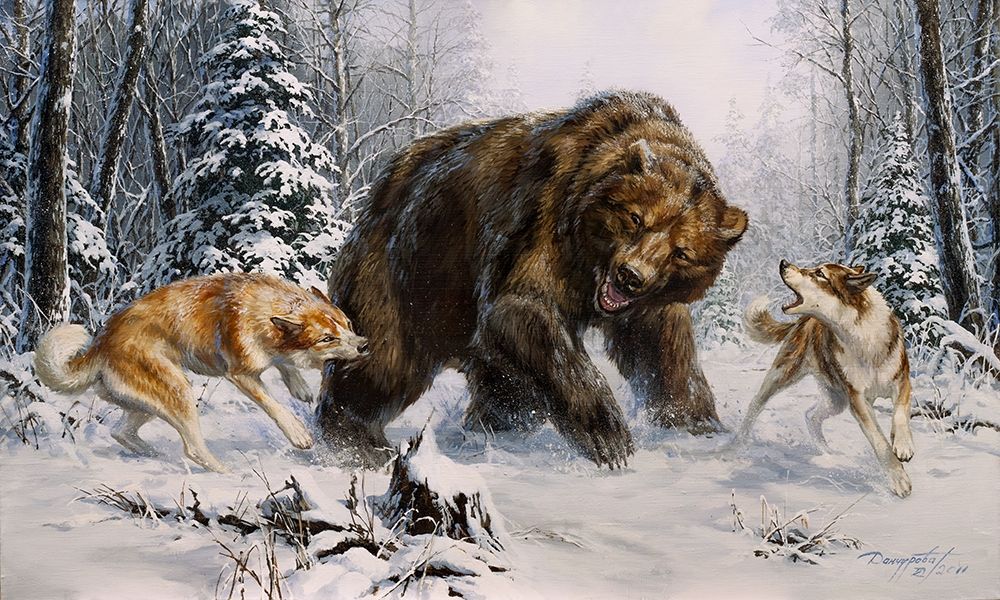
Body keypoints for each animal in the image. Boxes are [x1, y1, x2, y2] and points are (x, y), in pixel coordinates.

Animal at [317, 90, 748, 469]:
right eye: (636, 218)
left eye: (682, 251)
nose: (630, 276)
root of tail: (385, 181)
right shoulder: (542, 221)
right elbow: (523, 309)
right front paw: (609, 436)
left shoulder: (648, 304)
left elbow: (662, 346)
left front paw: (696, 422)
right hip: (411, 269)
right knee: (384, 360)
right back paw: (358, 442)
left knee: (502, 384)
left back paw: (488, 428)